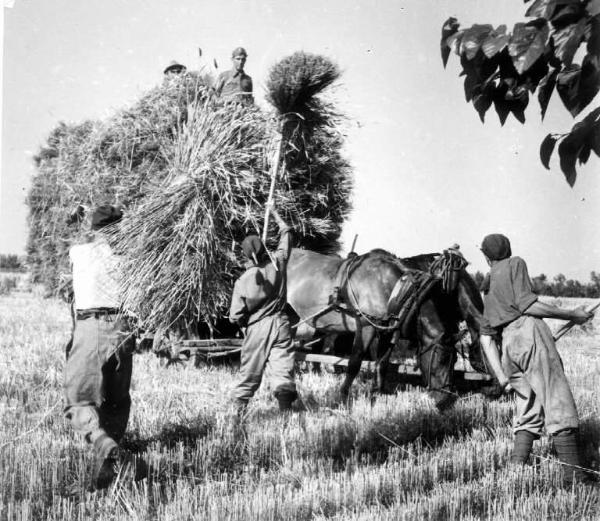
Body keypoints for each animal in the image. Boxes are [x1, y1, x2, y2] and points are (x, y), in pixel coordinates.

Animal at [286, 246, 460, 408]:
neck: (394, 288)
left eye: (455, 360)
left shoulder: (387, 331)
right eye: (441, 359)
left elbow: (382, 363)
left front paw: (378, 393)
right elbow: (355, 362)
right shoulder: (365, 326)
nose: (446, 400)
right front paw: (342, 395)